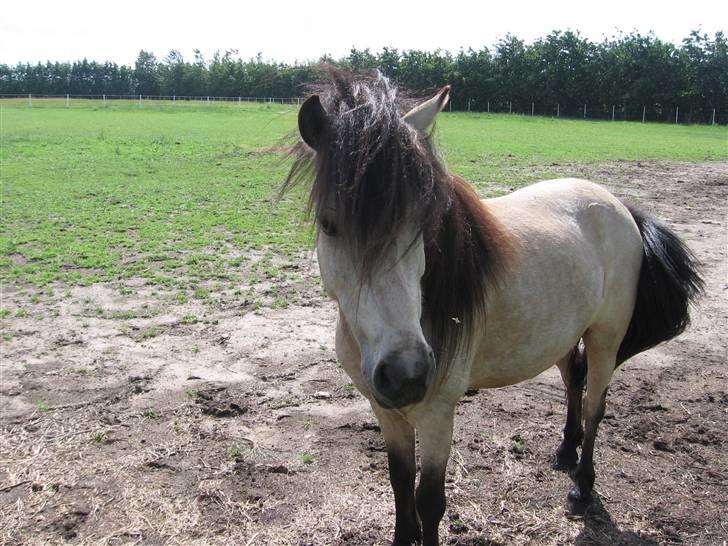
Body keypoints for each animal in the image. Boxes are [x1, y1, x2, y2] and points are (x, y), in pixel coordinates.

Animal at [282, 69, 704, 544]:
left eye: (423, 224)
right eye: (329, 224)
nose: (406, 375)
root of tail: (620, 206)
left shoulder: (437, 413)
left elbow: (429, 501)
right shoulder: (384, 409)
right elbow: (399, 484)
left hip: (605, 340)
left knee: (595, 405)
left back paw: (581, 486)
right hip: (562, 335)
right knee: (572, 383)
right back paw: (565, 450)